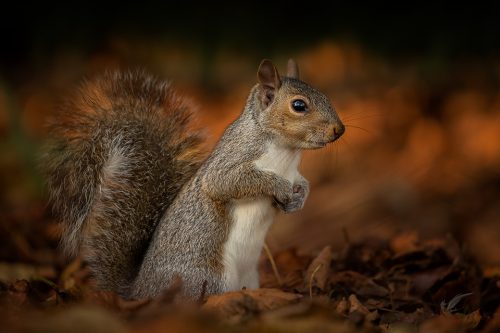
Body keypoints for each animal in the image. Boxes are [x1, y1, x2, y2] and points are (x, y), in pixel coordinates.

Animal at [42, 59, 344, 298]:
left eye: (325, 95)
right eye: (299, 105)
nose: (339, 130)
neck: (285, 152)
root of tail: (140, 291)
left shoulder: (294, 172)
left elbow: (303, 183)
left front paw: (299, 198)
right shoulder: (230, 162)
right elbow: (226, 182)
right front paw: (278, 187)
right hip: (207, 278)